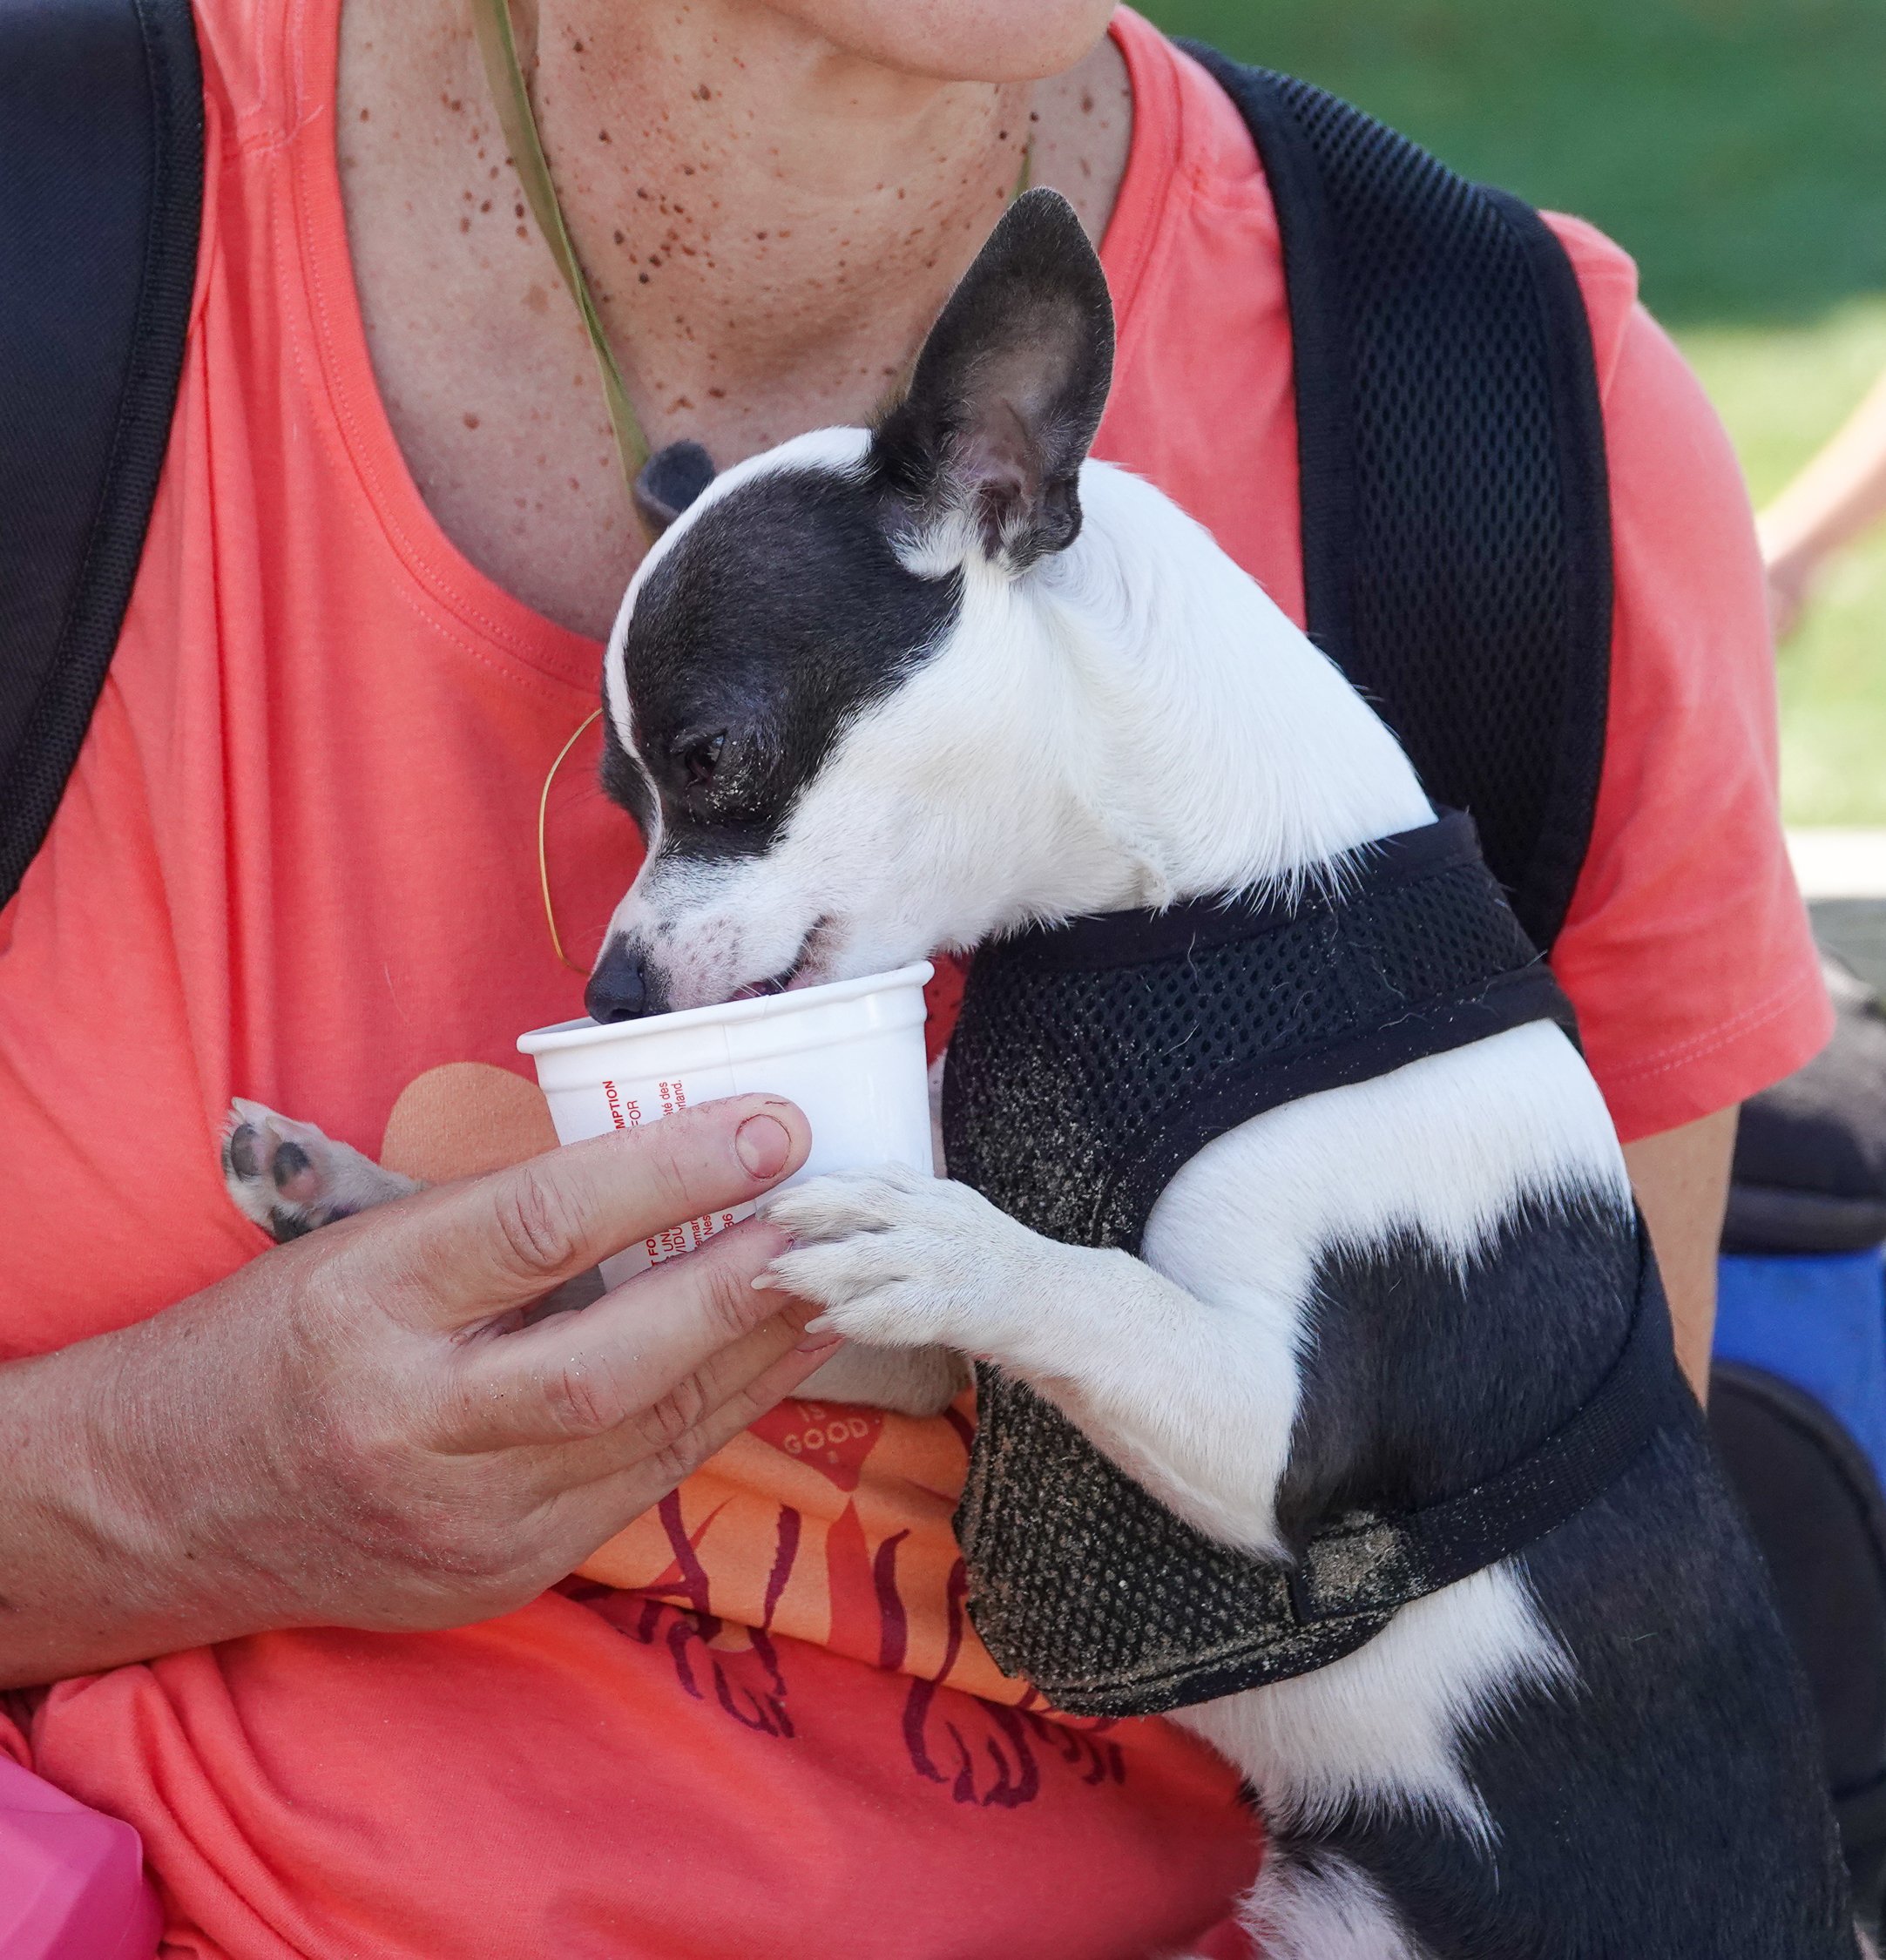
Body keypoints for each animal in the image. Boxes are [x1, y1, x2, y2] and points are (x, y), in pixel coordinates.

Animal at [231, 186, 1850, 1960]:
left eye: (718, 759)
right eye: (616, 795)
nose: (612, 986)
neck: (1173, 923)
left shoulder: (1273, 1452)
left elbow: (1087, 1290)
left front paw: (948, 1237)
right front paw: (352, 1192)